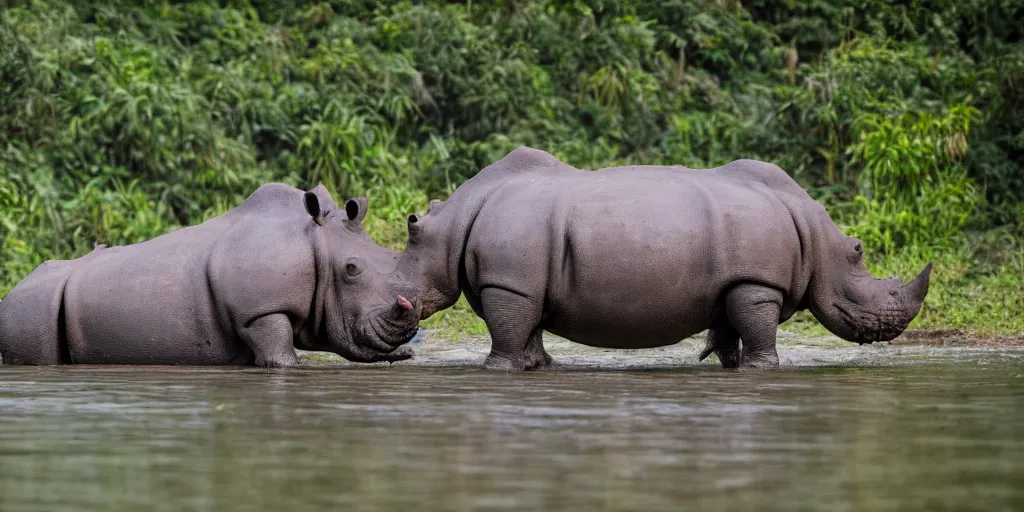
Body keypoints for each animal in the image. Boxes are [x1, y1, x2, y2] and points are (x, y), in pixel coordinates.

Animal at [0, 184, 421, 368]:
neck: (310, 240)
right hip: (30, 306)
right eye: (351, 270)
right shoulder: (260, 310)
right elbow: (282, 358)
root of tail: (13, 291)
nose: (404, 345)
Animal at [387, 146, 933, 370]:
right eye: (859, 253)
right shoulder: (510, 278)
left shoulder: (744, 280)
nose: (889, 328)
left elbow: (733, 326)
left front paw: (731, 365)